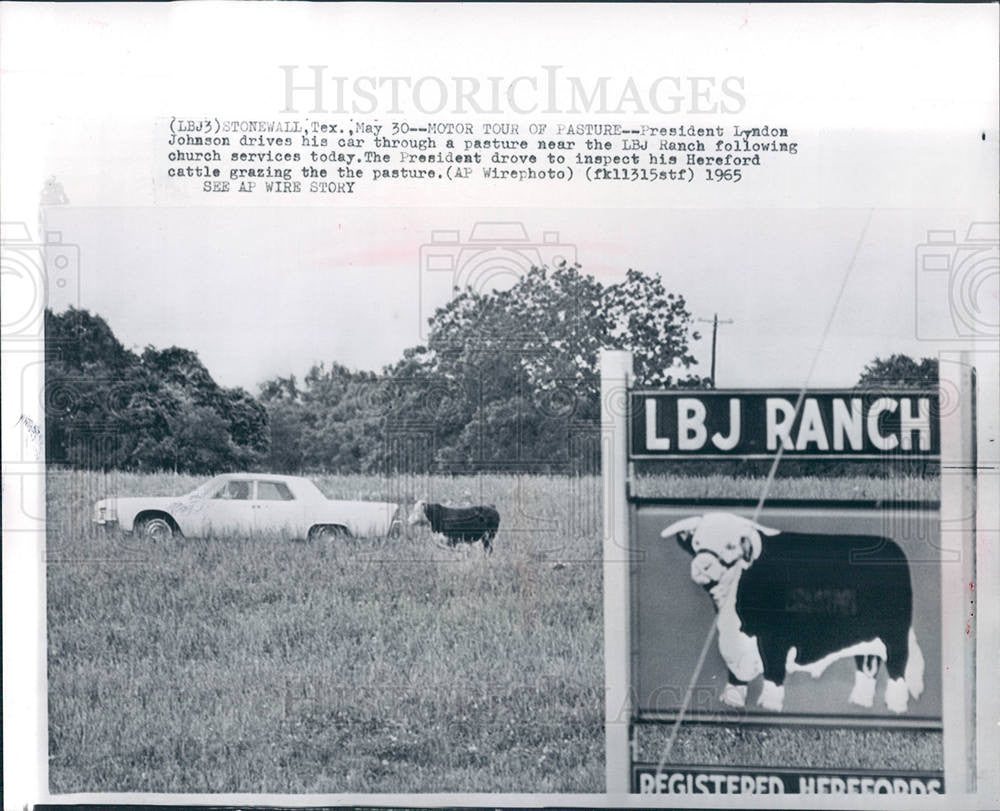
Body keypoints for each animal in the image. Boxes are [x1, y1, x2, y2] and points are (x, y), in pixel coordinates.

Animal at [660, 512, 924, 716]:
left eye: (730, 546)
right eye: (697, 542)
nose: (702, 566)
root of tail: (893, 548)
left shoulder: (774, 639)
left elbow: (773, 673)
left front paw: (769, 706)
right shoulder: (735, 643)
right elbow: (735, 675)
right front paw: (733, 702)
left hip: (894, 636)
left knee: (897, 670)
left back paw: (896, 706)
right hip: (865, 640)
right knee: (868, 667)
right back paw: (860, 702)